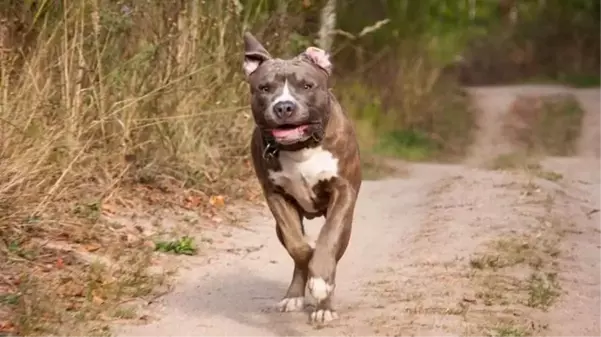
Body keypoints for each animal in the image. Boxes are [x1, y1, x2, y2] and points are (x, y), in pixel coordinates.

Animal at [240, 32, 360, 322]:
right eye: (264, 88)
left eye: (307, 86)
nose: (284, 106)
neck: (301, 148)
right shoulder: (276, 196)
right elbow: (298, 246)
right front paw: (309, 267)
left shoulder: (343, 192)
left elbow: (328, 240)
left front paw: (322, 283)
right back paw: (294, 295)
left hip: (347, 223)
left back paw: (324, 305)